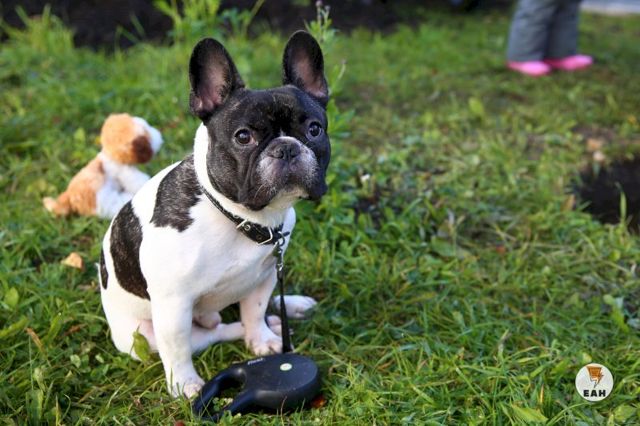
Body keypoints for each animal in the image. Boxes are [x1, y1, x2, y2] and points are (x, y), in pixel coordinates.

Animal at [99, 31, 331, 398]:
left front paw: (261, 340)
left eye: (314, 130)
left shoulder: (264, 275)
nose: (286, 148)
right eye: (243, 137)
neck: (238, 218)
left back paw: (286, 309)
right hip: (142, 338)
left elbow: (255, 310)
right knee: (210, 333)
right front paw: (184, 384)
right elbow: (177, 348)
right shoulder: (173, 305)